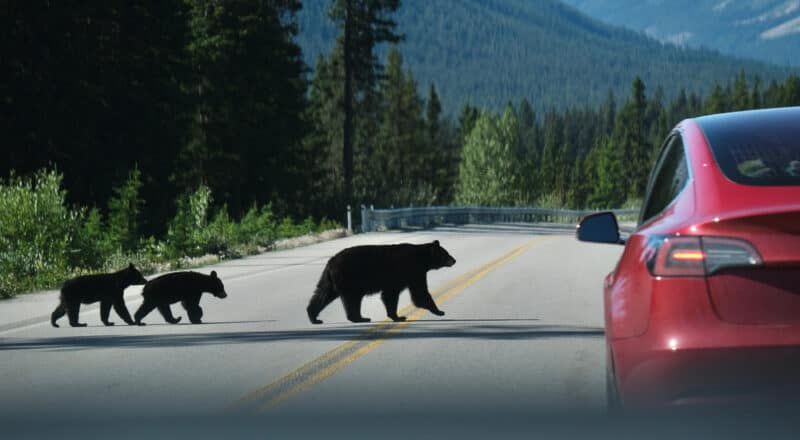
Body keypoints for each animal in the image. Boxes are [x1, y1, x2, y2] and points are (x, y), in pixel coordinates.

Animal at [306, 239, 456, 324]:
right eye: (446, 253)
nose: (454, 260)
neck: (421, 258)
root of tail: (331, 261)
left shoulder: (407, 275)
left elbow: (392, 295)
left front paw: (395, 316)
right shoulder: (411, 271)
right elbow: (419, 292)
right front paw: (439, 311)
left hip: (329, 280)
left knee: (322, 295)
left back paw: (314, 317)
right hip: (350, 279)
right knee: (352, 299)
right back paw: (359, 318)